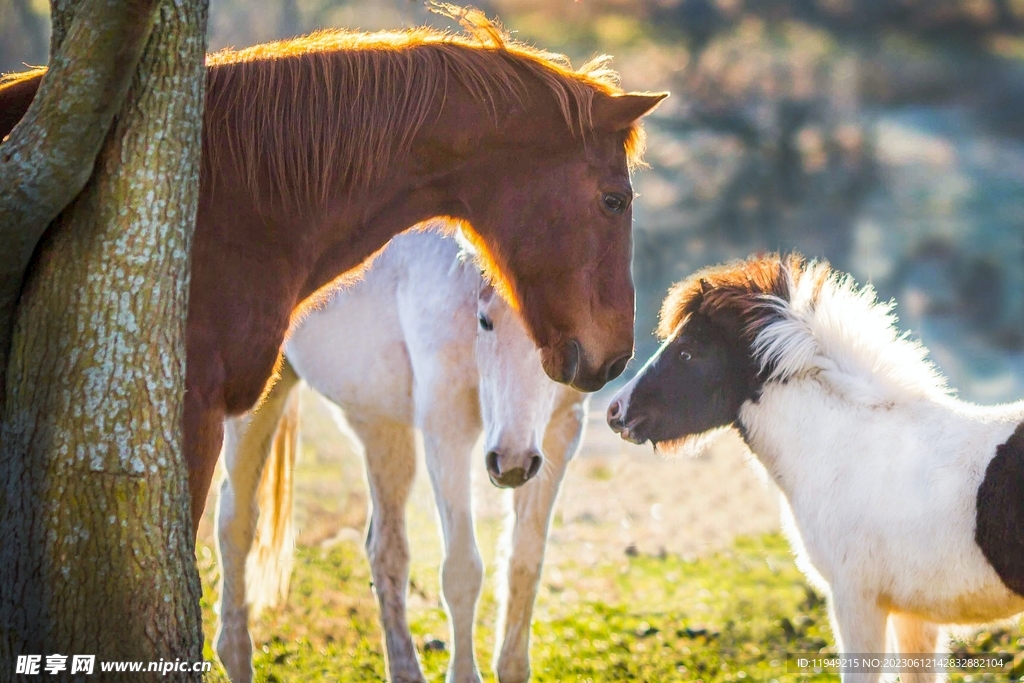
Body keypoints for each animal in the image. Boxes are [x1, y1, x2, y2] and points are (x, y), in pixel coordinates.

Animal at [216, 231, 589, 683]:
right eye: (485, 321)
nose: (511, 460)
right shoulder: (447, 430)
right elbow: (462, 570)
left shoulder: (559, 433)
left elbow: (525, 564)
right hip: (260, 404)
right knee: (236, 520)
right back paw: (236, 654)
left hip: (381, 427)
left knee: (385, 551)